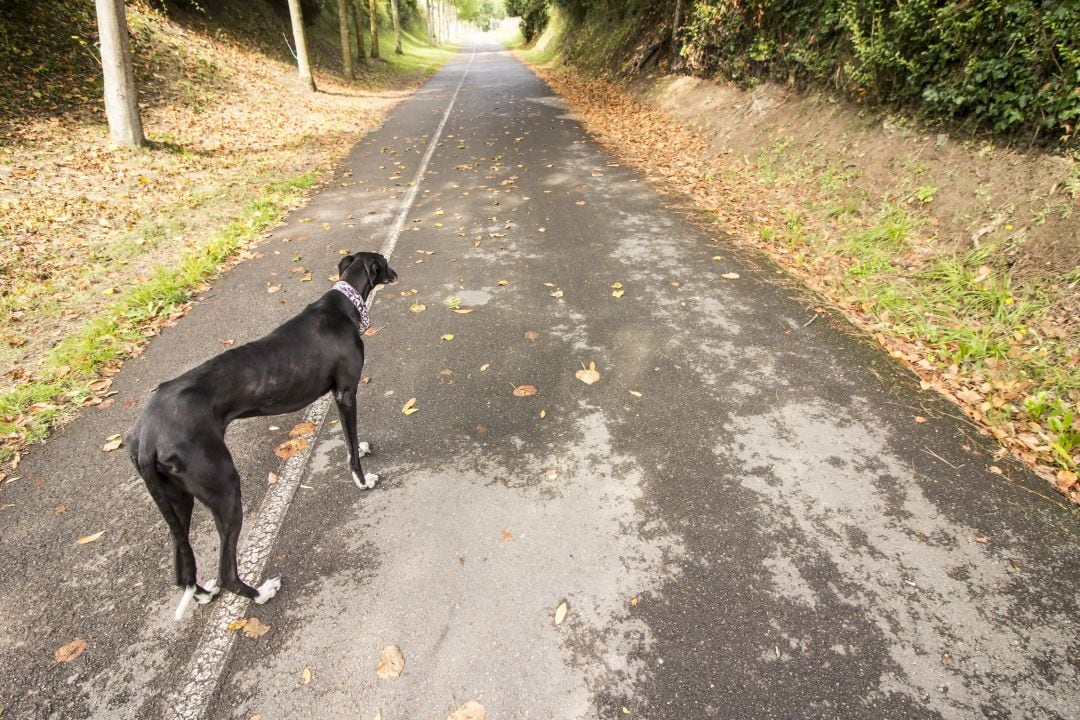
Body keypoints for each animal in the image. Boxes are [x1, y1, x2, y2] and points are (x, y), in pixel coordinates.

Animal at [126, 250, 397, 617]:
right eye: (383, 263)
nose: (396, 274)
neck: (344, 304)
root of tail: (147, 437)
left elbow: (349, 438)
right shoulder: (346, 393)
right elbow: (351, 442)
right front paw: (363, 479)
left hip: (178, 499)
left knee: (181, 569)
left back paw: (203, 594)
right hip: (224, 488)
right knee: (226, 571)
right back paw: (260, 593)